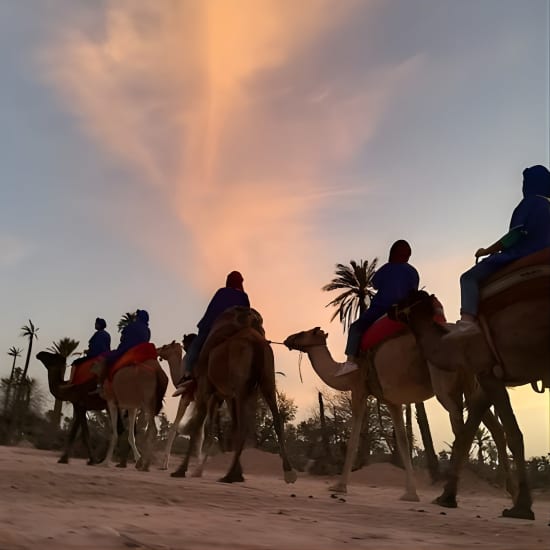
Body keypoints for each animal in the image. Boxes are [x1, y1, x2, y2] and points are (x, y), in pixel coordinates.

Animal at [175, 308, 300, 486]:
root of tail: (256, 342)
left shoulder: (206, 388)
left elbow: (198, 425)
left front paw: (181, 470)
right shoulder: (227, 395)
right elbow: (229, 425)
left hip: (241, 382)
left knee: (243, 425)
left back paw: (229, 475)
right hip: (267, 379)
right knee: (276, 419)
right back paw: (288, 473)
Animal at [286, 328, 512, 504]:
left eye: (304, 333)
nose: (289, 338)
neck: (343, 373)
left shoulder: (359, 389)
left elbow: (353, 439)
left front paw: (338, 486)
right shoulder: (391, 401)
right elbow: (403, 441)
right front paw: (410, 494)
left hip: (447, 384)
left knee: (461, 427)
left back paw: (450, 494)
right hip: (472, 382)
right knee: (493, 426)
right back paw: (506, 487)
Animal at [392, 264, 550, 520]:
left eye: (405, 298)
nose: (389, 310)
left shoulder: (487, 371)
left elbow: (512, 433)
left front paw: (521, 507)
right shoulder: (485, 377)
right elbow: (467, 434)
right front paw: (446, 497)